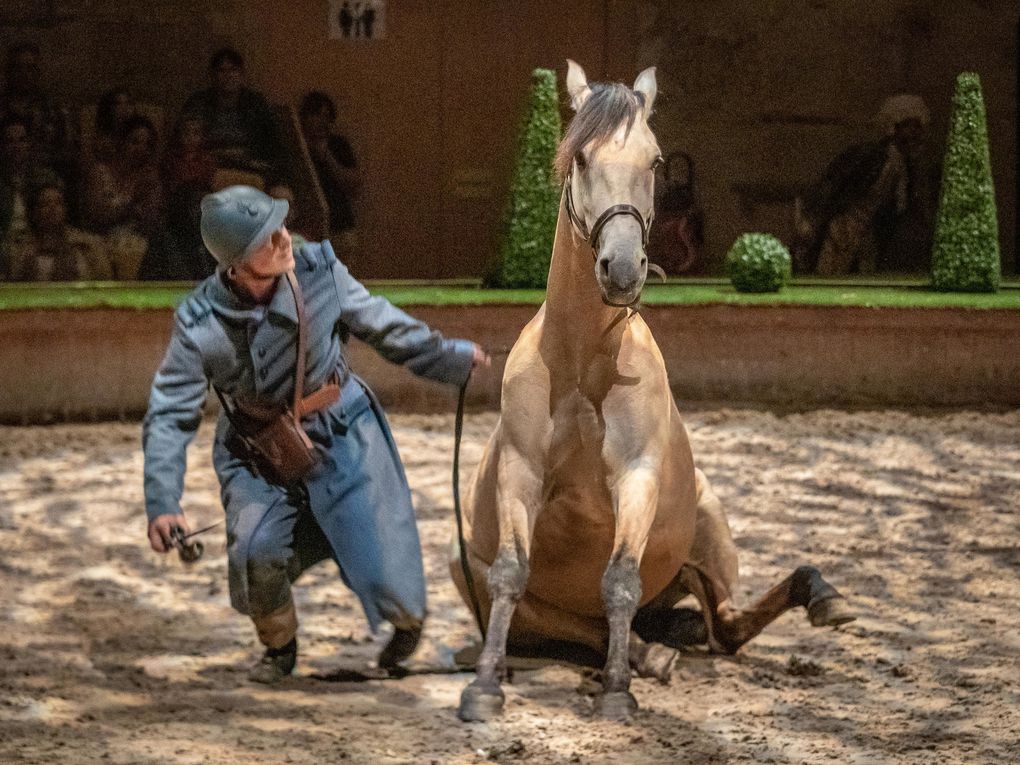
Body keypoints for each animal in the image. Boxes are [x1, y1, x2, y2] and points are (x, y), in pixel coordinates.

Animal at [448, 62, 852, 722]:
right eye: (580, 156)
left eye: (657, 161)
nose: (620, 268)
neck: (585, 360)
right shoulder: (520, 473)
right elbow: (512, 572)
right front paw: (484, 687)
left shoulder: (636, 476)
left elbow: (619, 581)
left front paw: (615, 694)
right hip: (472, 569)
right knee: (596, 627)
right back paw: (652, 654)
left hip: (707, 529)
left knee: (725, 624)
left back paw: (820, 596)